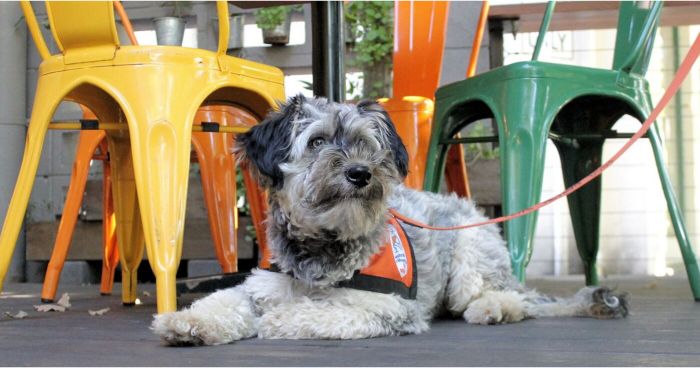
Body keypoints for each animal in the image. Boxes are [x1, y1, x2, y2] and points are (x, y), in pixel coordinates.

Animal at [152, 95, 628, 344]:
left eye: (366, 144)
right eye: (317, 142)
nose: (359, 173)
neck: (324, 247)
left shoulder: (389, 306)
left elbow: (323, 311)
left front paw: (281, 320)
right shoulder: (261, 286)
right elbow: (223, 301)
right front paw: (187, 321)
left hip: (470, 259)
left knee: (515, 299)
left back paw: (493, 307)